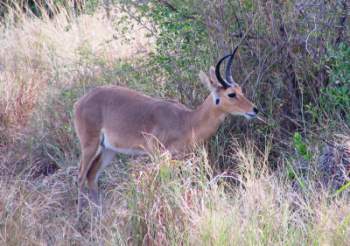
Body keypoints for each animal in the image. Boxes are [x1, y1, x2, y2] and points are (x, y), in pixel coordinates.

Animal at [74, 47, 258, 215]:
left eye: (241, 90)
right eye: (231, 94)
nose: (254, 110)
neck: (187, 121)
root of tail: (80, 101)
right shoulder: (157, 155)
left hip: (108, 150)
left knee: (92, 176)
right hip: (90, 145)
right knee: (81, 176)